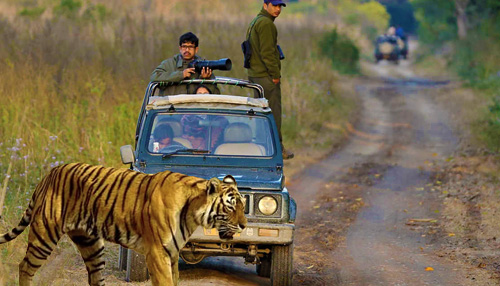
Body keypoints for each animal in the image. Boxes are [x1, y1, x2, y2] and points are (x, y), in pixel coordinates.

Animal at [0, 163, 244, 286]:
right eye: (231, 207)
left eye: (243, 205)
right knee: (25, 267)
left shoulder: (173, 253)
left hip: (91, 244)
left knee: (95, 276)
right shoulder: (157, 253)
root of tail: (49, 173)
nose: (243, 225)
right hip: (45, 234)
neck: (193, 212)